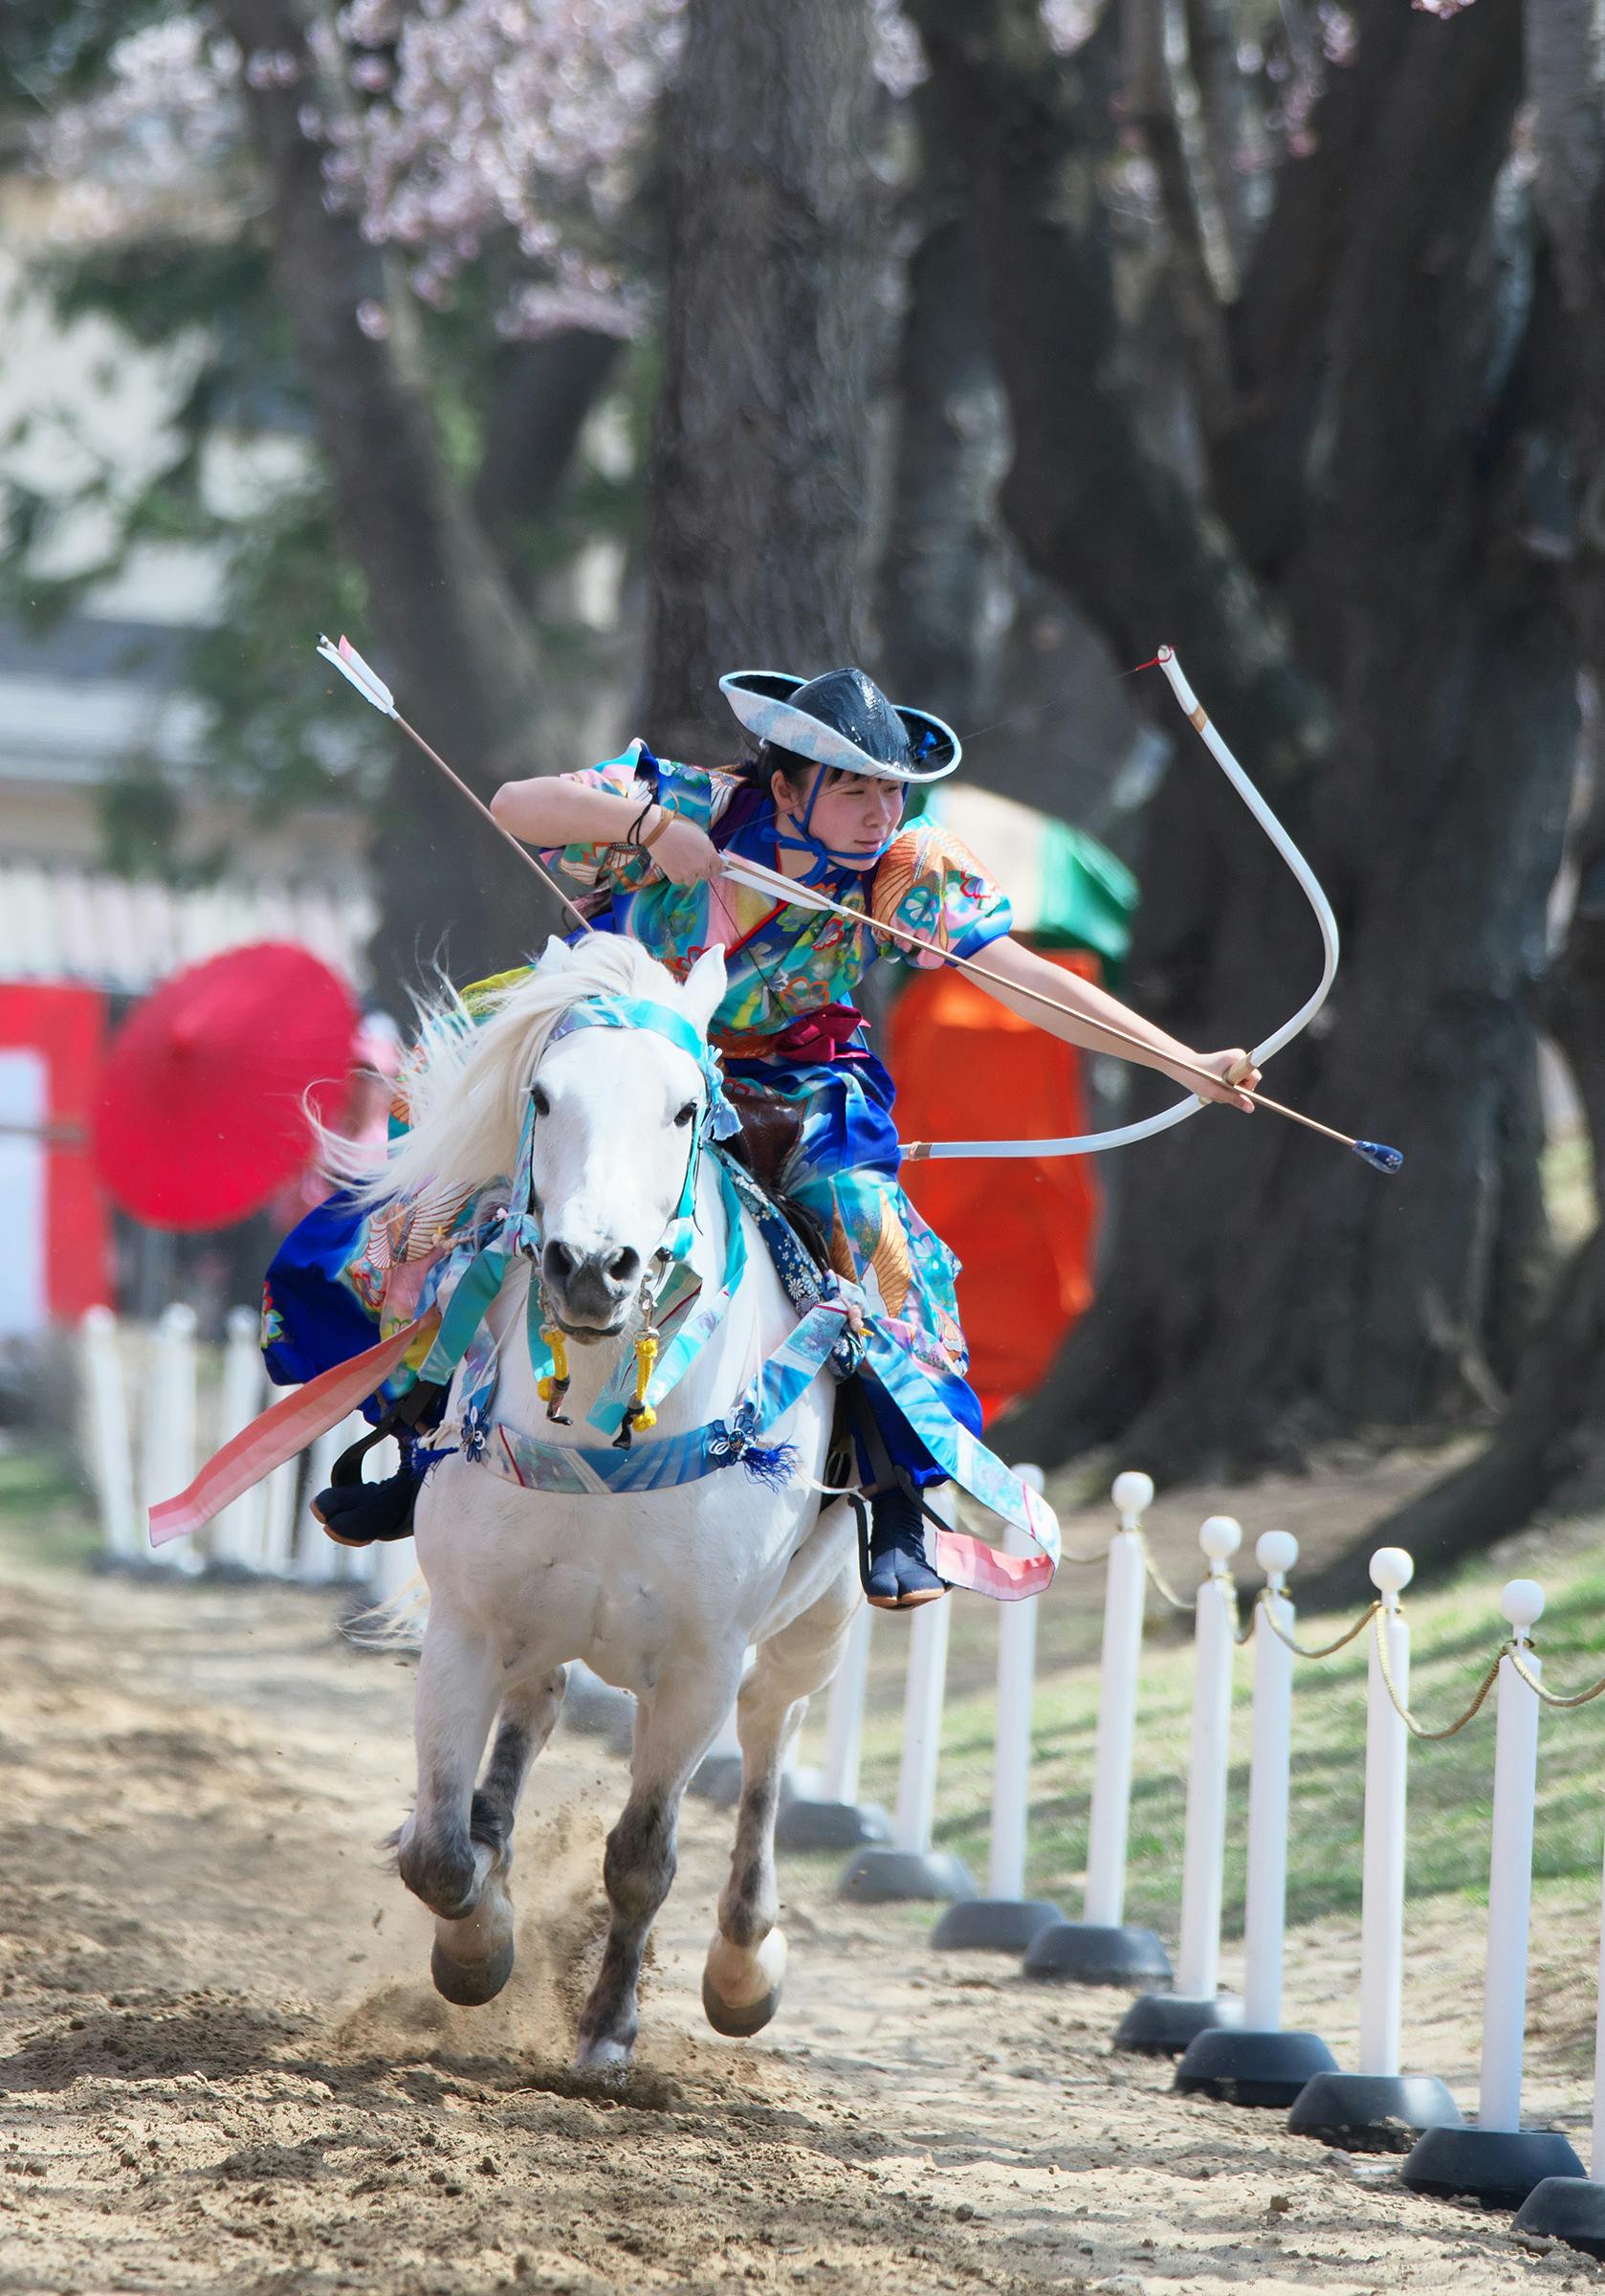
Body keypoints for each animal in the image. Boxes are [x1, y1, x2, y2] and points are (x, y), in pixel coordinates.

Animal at [371, 922, 858, 2075]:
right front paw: (478, 1947)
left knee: (771, 1734)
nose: (593, 1268)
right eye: (544, 1097)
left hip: (817, 1623)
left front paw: (606, 2033)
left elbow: (642, 1857)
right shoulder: (467, 1622)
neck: (599, 1426)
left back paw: (745, 1965)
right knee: (536, 1707)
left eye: (684, 1109)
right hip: (537, 1625)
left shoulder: (697, 1663)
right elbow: (437, 1851)